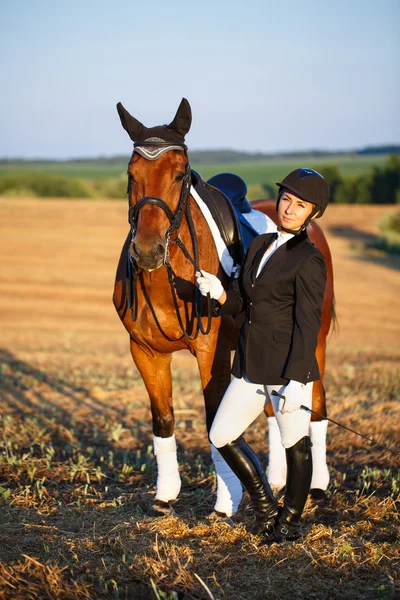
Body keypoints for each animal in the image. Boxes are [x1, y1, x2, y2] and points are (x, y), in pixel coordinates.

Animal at [113, 97, 334, 516]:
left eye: (180, 175)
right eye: (131, 175)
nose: (147, 251)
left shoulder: (210, 352)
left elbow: (215, 423)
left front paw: (225, 504)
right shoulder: (144, 351)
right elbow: (163, 421)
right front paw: (165, 495)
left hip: (312, 343)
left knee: (314, 406)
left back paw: (317, 485)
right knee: (272, 409)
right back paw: (277, 478)